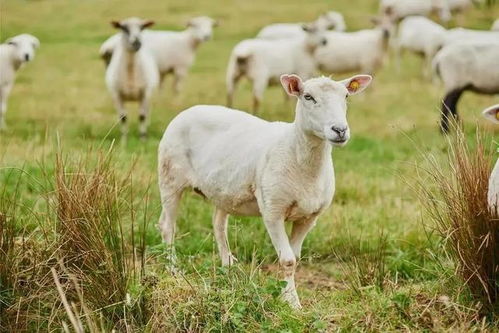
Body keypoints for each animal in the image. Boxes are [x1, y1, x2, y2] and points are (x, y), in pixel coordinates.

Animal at [158, 74, 374, 308]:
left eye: (346, 96)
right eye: (308, 97)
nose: (340, 130)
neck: (297, 155)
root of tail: (190, 110)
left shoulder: (309, 217)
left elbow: (295, 257)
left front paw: (287, 295)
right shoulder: (273, 210)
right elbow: (287, 260)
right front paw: (292, 302)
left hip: (223, 191)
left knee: (218, 225)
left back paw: (228, 268)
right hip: (170, 177)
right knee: (167, 226)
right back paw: (173, 270)